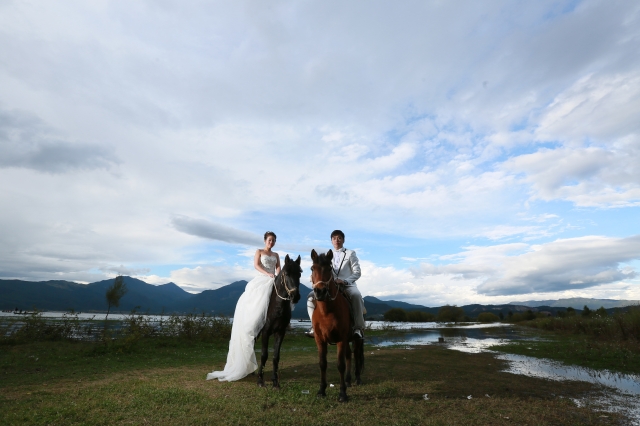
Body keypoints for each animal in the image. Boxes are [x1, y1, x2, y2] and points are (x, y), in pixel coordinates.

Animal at [256, 253, 302, 390]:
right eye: (286, 273)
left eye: (300, 273)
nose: (295, 296)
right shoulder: (265, 332)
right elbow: (264, 355)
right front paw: (260, 380)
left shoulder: (280, 332)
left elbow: (276, 356)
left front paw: (275, 382)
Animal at [312, 248, 364, 402]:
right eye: (312, 268)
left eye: (329, 268)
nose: (320, 291)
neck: (327, 312)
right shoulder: (320, 340)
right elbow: (322, 364)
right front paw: (321, 390)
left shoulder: (341, 339)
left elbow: (340, 365)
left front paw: (342, 394)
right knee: (349, 355)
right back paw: (348, 380)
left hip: (356, 339)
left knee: (356, 355)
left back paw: (357, 379)